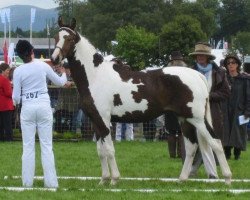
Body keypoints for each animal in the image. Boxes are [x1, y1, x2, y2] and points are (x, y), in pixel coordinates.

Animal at [50, 17, 232, 184]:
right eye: (56, 37)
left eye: (70, 38)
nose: (54, 58)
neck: (95, 76)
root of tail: (198, 75)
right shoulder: (95, 121)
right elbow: (101, 151)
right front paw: (103, 180)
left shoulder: (104, 120)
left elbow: (109, 150)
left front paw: (114, 179)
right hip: (184, 119)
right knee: (191, 146)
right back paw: (182, 179)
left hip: (197, 119)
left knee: (216, 142)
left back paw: (228, 179)